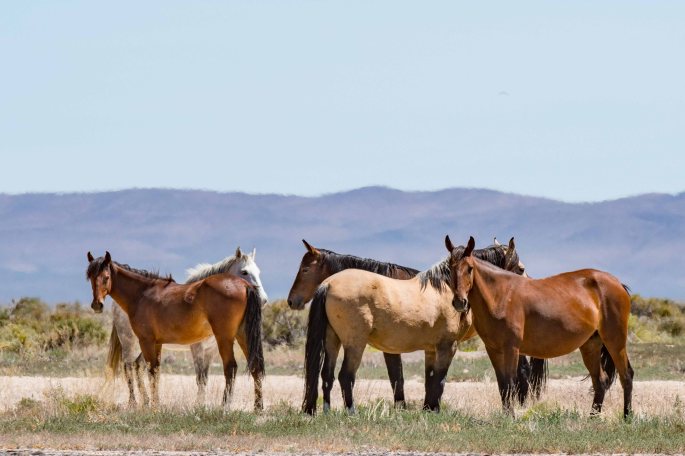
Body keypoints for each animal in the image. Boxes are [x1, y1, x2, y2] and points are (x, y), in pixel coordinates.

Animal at [86, 251, 265, 410]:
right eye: (90, 277)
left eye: (106, 277)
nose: (97, 305)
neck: (142, 293)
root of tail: (245, 285)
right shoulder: (157, 343)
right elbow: (156, 371)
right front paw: (156, 404)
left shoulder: (148, 341)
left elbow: (155, 372)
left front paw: (156, 406)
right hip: (242, 336)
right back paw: (257, 408)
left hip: (225, 338)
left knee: (230, 367)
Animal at [300, 239, 534, 415]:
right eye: (521, 268)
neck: (446, 288)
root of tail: (328, 284)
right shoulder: (448, 346)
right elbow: (439, 379)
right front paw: (434, 410)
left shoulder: (431, 349)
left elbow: (429, 380)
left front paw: (428, 409)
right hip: (355, 344)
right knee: (345, 376)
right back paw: (351, 412)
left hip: (332, 340)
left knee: (327, 375)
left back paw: (327, 412)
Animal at [445, 236, 634, 418]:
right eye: (450, 267)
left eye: (469, 268)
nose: (459, 302)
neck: (501, 295)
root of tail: (617, 283)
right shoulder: (493, 350)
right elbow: (502, 385)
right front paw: (506, 416)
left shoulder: (511, 349)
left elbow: (511, 382)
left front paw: (511, 417)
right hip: (591, 345)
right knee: (600, 380)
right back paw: (592, 417)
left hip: (615, 341)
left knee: (626, 376)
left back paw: (627, 416)